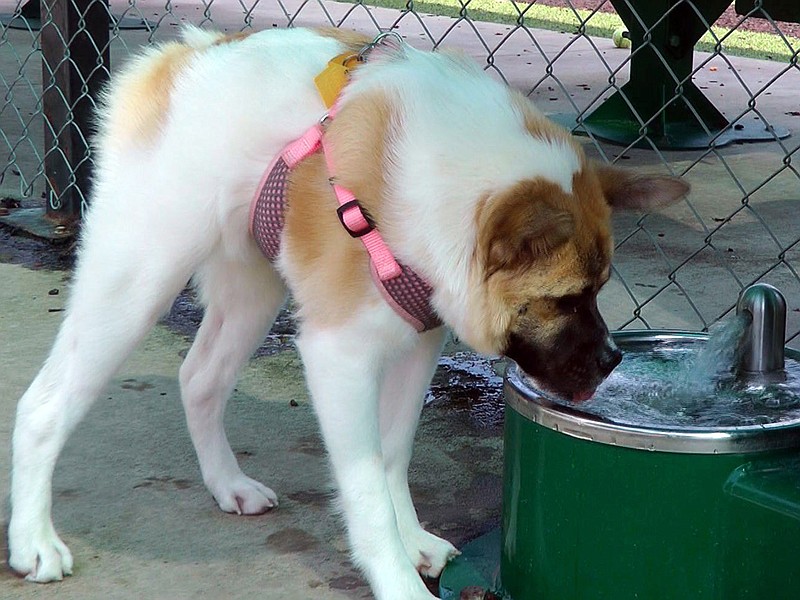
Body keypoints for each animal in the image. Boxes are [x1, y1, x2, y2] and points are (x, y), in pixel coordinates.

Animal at [6, 27, 688, 600]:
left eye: (599, 290)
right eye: (564, 300)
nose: (613, 361)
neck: (430, 187)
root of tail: (183, 58)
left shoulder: (419, 344)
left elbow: (391, 458)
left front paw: (411, 542)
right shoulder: (341, 358)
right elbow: (364, 491)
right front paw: (396, 579)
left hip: (252, 295)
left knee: (198, 379)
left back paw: (228, 486)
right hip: (136, 279)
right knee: (44, 405)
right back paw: (34, 541)